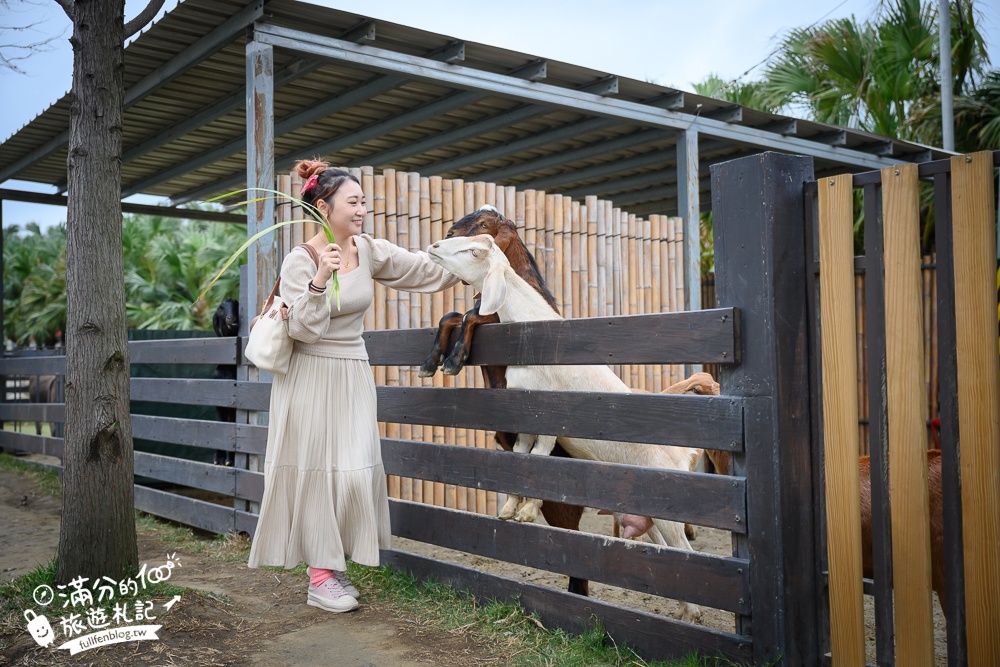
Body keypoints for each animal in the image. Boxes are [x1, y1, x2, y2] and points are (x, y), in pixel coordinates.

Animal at [430, 234, 704, 620]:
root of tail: (683, 455)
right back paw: (684, 612)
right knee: (667, 552)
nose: (435, 246)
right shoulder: (524, 416)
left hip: (668, 511)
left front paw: (528, 510)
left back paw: (693, 615)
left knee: (685, 552)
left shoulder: (549, 415)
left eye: (475, 250)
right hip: (644, 515)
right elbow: (521, 457)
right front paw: (510, 509)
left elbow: (541, 457)